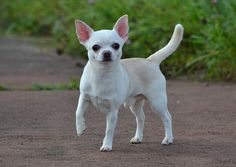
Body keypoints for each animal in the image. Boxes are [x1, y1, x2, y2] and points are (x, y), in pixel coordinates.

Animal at [74, 14, 183, 151]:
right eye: (95, 47)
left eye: (116, 45)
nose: (107, 52)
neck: (101, 74)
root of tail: (150, 61)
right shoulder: (84, 97)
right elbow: (78, 112)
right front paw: (80, 128)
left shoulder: (112, 111)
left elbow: (109, 130)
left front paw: (106, 145)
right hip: (135, 105)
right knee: (141, 118)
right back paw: (138, 138)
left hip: (157, 102)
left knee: (167, 118)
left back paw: (168, 138)